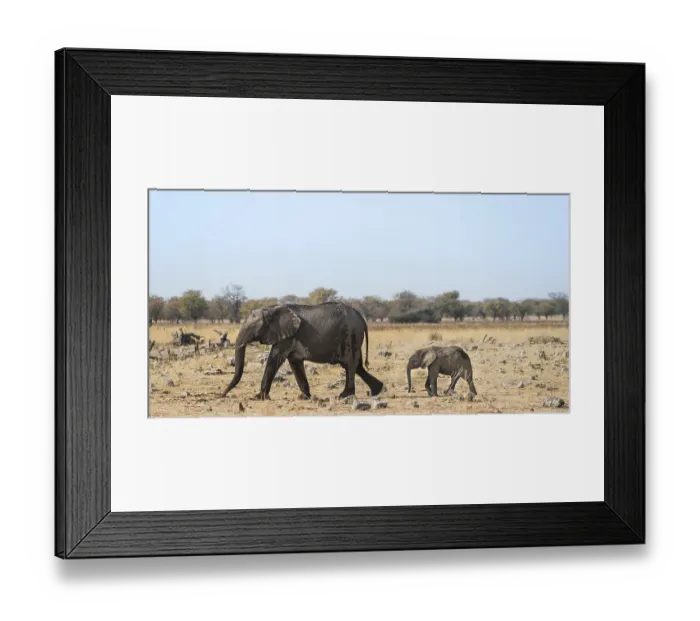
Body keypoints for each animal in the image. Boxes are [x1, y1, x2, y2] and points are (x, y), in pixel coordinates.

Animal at [221, 302, 384, 400]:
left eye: (251, 328)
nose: (221, 395)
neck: (271, 309)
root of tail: (362, 318)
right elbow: (295, 363)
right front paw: (304, 397)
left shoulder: (287, 337)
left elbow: (274, 359)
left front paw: (259, 397)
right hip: (354, 336)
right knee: (358, 366)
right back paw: (377, 390)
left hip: (352, 334)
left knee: (350, 365)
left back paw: (343, 396)